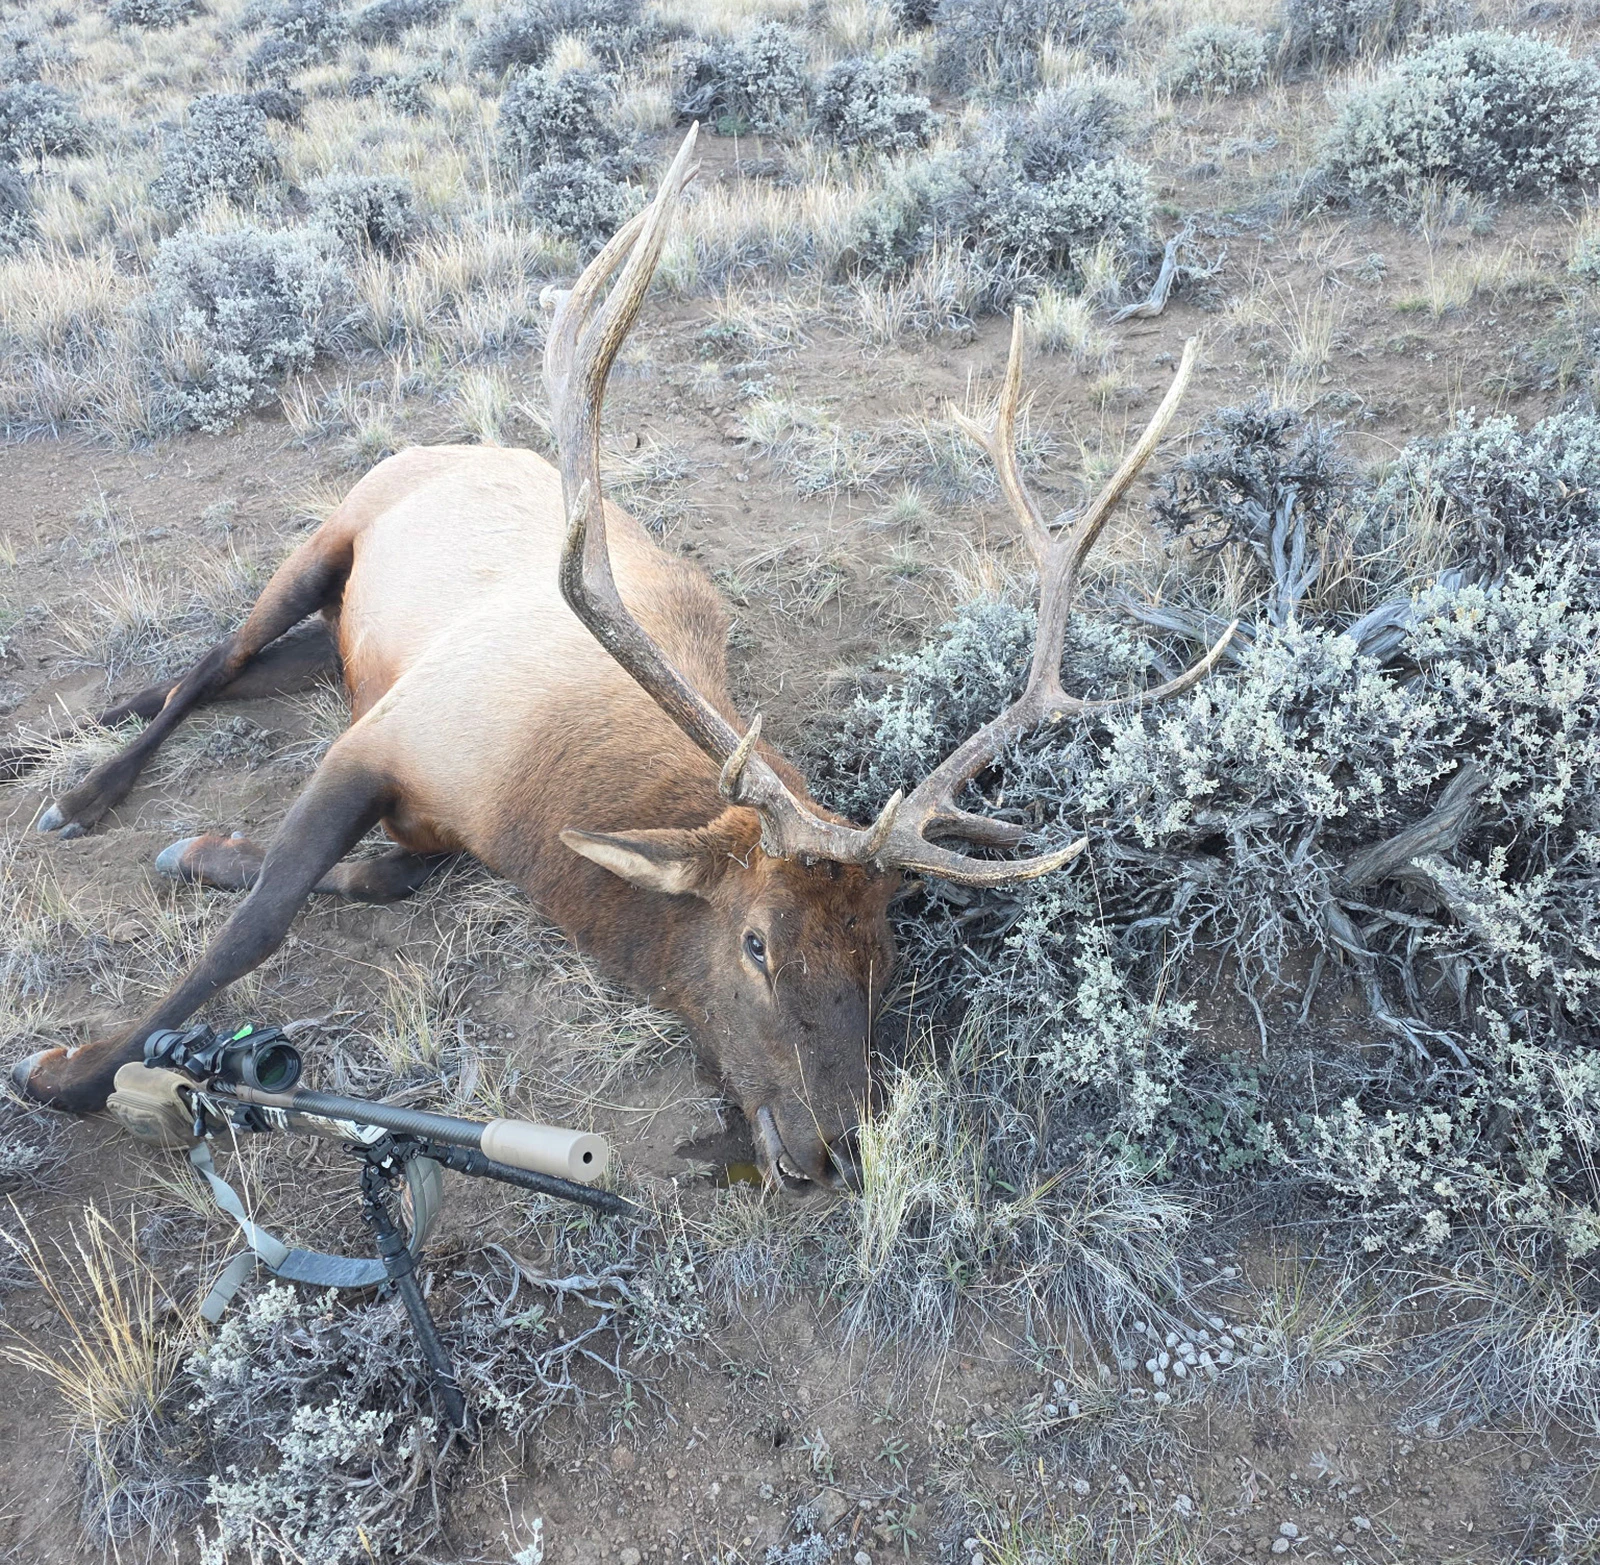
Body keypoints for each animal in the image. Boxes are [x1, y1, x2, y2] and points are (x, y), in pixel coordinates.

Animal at [11, 127, 1232, 1191]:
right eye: (755, 942)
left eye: (882, 954)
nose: (833, 1149)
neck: (522, 796)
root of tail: (441, 439)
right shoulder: (387, 737)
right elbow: (262, 919)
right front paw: (75, 1068)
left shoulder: (419, 783)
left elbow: (382, 873)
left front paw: (201, 848)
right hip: (329, 531)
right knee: (218, 654)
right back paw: (81, 791)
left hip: (342, 629)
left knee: (248, 665)